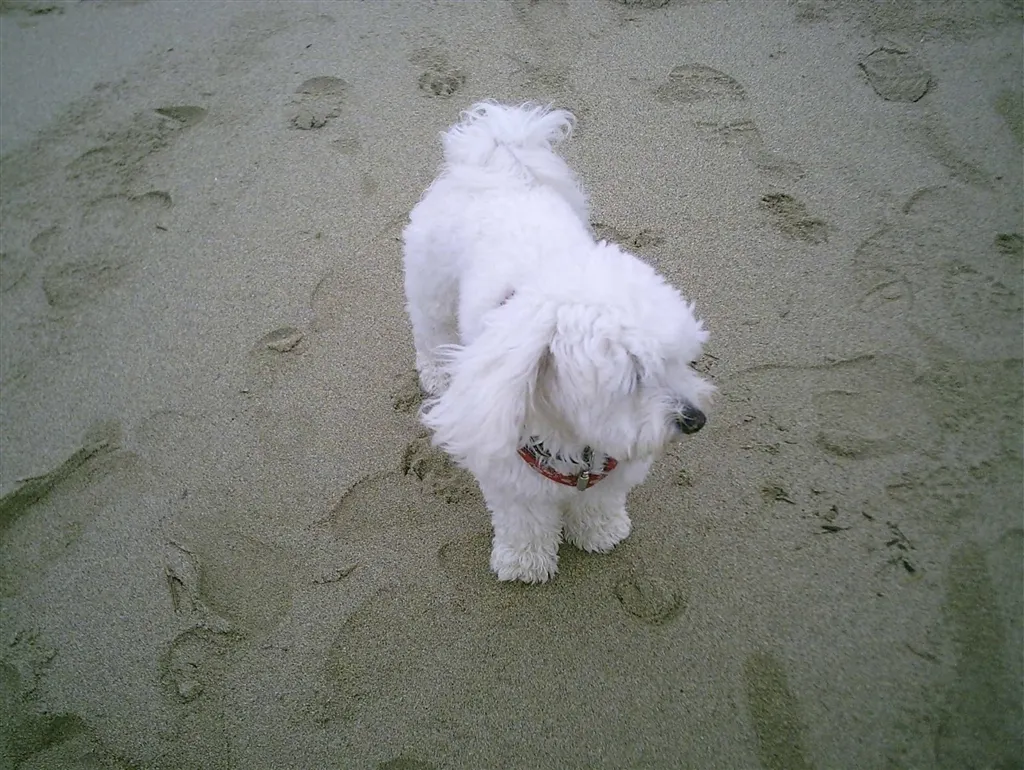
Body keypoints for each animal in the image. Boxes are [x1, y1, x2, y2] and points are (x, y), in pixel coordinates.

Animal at [402, 102, 713, 583]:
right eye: (633, 377)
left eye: (680, 361)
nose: (695, 420)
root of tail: (496, 163)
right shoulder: (512, 475)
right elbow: (525, 519)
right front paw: (525, 563)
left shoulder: (613, 465)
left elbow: (599, 502)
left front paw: (601, 532)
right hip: (431, 286)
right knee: (431, 330)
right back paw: (436, 371)